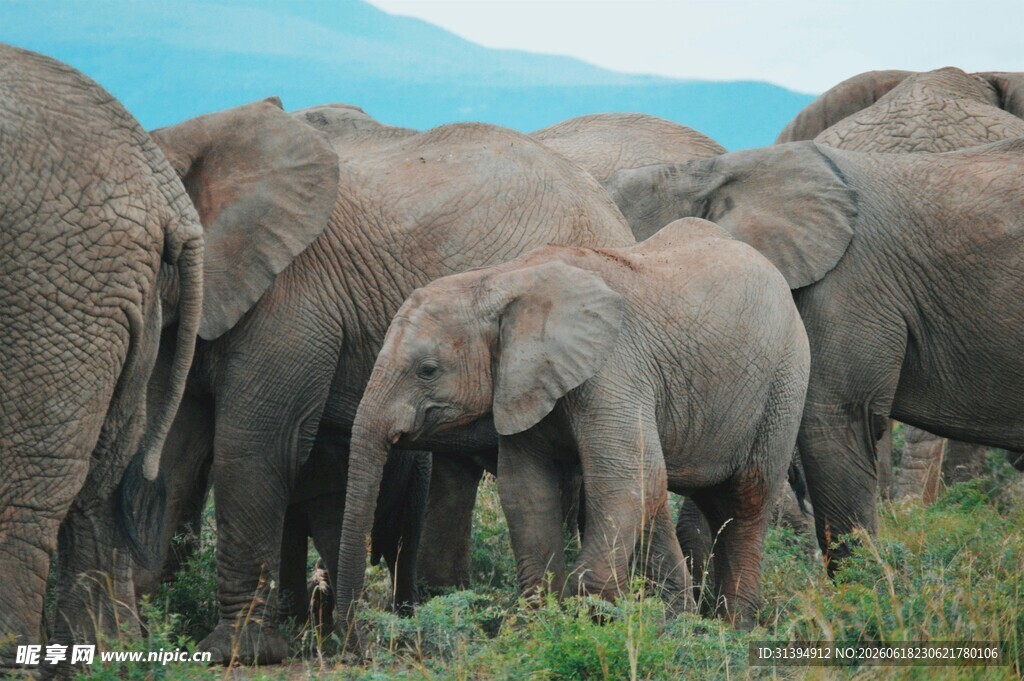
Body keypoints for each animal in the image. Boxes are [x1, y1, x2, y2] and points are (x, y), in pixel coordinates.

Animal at [0, 44, 204, 668]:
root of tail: (167, 196)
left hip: (52, 286)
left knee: (27, 484)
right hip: (108, 294)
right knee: (106, 477)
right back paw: (106, 661)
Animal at [141, 105, 634, 663]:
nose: (357, 644)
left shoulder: (293, 295)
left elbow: (254, 448)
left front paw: (236, 652)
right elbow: (178, 456)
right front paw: (144, 627)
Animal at [339, 217, 811, 630]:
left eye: (428, 371)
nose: (355, 636)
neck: (501, 281)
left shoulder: (614, 368)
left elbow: (624, 477)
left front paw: (597, 617)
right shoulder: (524, 383)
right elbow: (526, 489)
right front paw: (540, 623)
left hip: (785, 382)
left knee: (746, 500)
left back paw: (735, 630)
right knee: (696, 501)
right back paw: (692, 623)